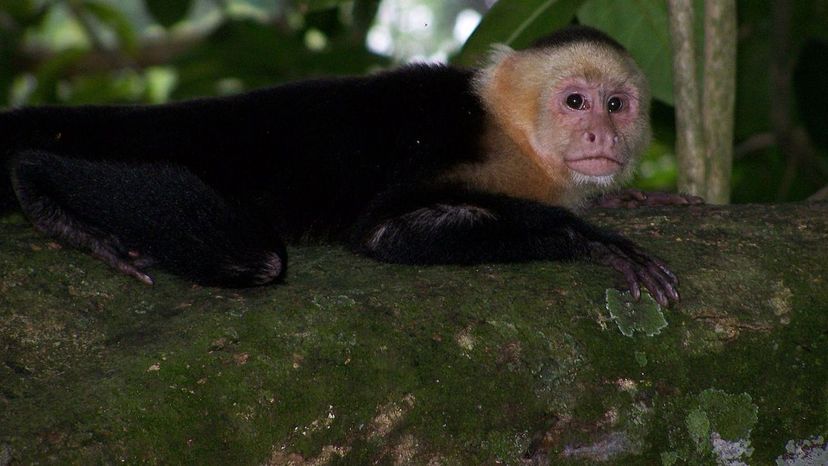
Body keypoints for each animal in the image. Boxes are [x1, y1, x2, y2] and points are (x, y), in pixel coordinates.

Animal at [0, 27, 700, 308]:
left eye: (617, 105)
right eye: (576, 102)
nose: (600, 133)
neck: (514, 138)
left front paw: (630, 201)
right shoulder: (463, 142)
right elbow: (388, 232)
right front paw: (594, 241)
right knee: (260, 259)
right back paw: (41, 188)